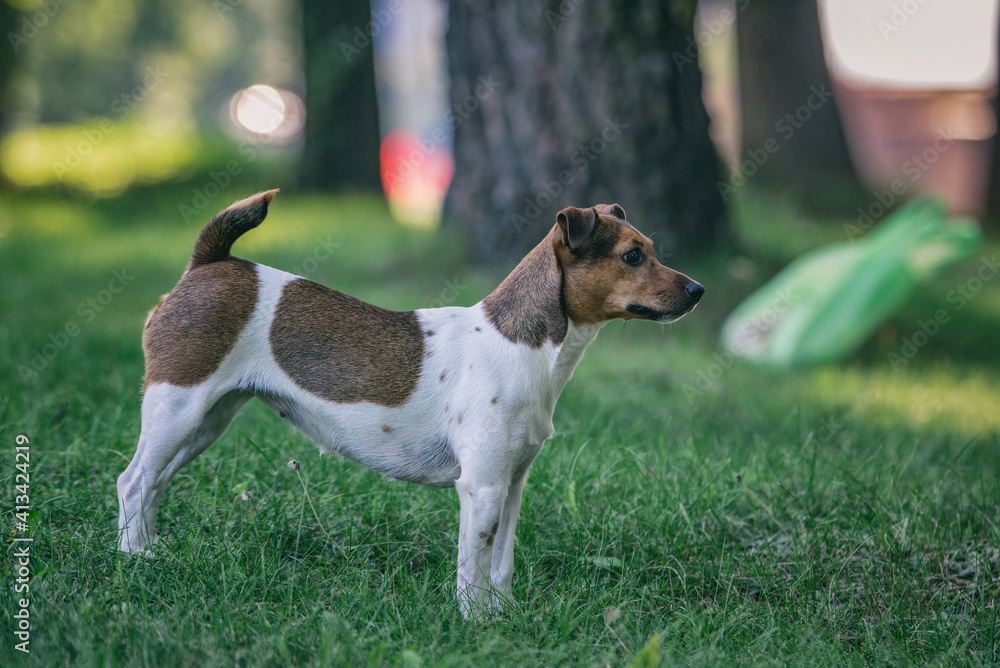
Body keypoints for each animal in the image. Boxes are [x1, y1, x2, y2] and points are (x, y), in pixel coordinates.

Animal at [117, 188, 704, 616]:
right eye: (633, 256)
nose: (698, 290)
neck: (522, 345)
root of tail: (208, 263)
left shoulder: (510, 485)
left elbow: (501, 564)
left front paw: (506, 616)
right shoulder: (481, 488)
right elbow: (473, 569)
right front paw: (476, 625)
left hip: (203, 423)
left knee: (155, 484)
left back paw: (151, 553)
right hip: (178, 409)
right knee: (134, 482)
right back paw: (131, 563)